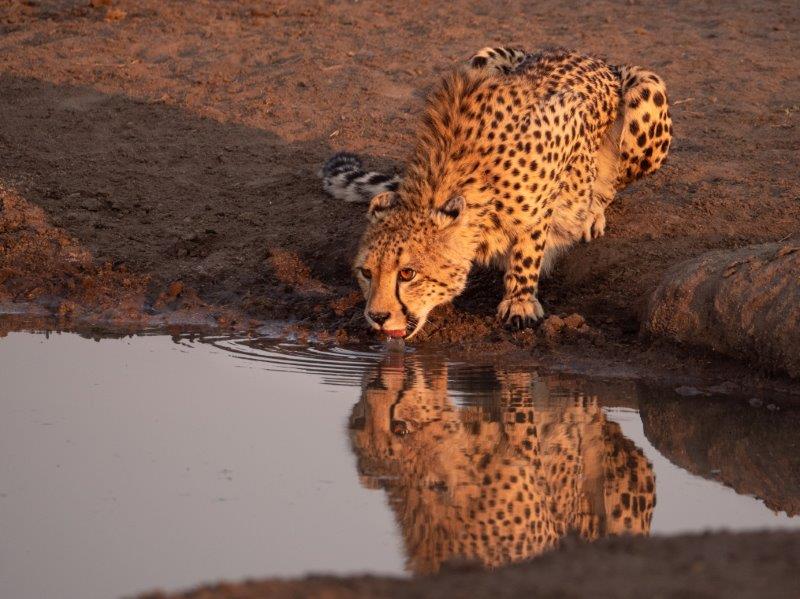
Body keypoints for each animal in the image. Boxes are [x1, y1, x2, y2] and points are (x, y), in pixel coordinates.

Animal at [322, 47, 672, 338]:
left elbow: (530, 242)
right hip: (481, 58)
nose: (377, 316)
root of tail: (597, 59)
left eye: (408, 273)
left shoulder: (569, 121)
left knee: (610, 183)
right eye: (366, 272)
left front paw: (520, 300)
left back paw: (590, 214)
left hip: (646, 94)